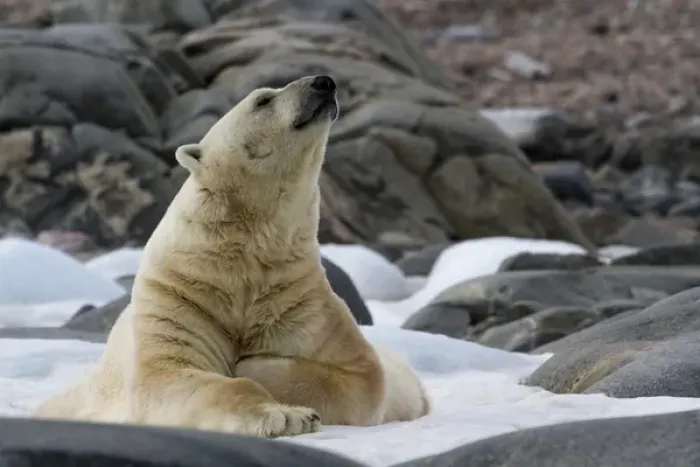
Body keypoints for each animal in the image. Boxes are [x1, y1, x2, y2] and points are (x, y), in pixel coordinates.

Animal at [33, 75, 430, 438]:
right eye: (263, 99)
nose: (324, 82)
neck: (241, 259)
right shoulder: (180, 298)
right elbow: (170, 375)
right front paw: (285, 416)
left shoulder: (300, 302)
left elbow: (362, 374)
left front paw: (255, 364)